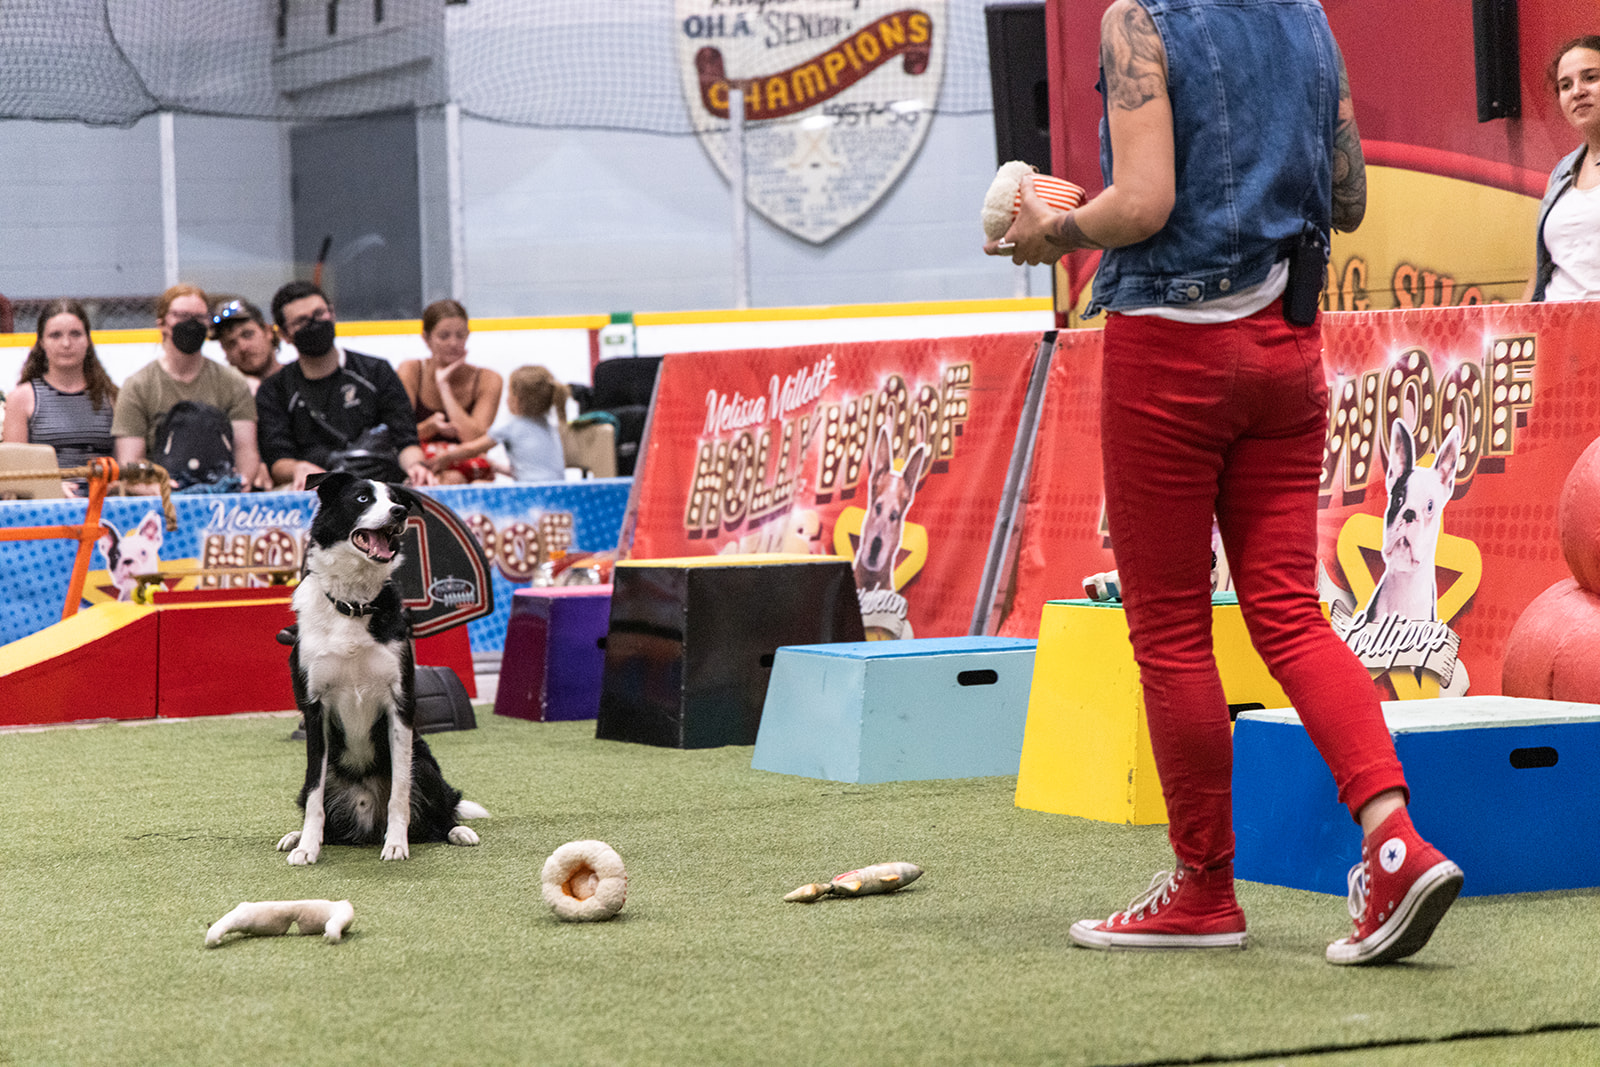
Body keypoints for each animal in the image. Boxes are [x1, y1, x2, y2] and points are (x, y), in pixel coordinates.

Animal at [276, 472, 484, 865]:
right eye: (362, 498)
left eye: (395, 499)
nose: (400, 512)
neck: (352, 604)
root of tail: (366, 825)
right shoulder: (314, 709)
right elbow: (314, 796)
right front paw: (307, 847)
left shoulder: (400, 705)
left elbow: (399, 793)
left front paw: (396, 844)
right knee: (325, 814)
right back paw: (295, 837)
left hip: (424, 761)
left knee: (439, 813)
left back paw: (457, 831)